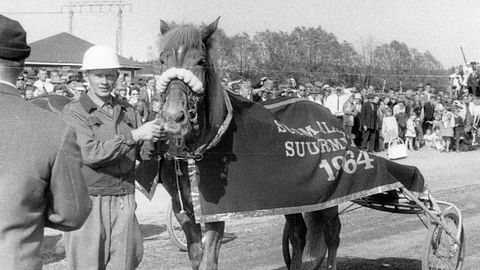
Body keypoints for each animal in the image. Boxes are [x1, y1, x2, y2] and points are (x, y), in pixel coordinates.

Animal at [154, 19, 342, 270]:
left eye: (200, 61)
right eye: (162, 60)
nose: (174, 117)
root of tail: (328, 114)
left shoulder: (218, 211)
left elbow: (208, 261)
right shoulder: (182, 209)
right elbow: (196, 257)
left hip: (330, 195)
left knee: (332, 234)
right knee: (298, 234)